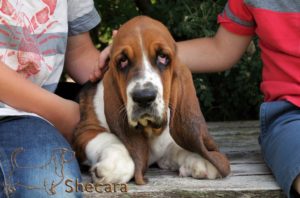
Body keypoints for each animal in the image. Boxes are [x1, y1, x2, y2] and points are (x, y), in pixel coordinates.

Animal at [74, 16, 231, 185]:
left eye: (163, 57)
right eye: (123, 61)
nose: (144, 97)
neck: (149, 130)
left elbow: (177, 147)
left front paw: (202, 159)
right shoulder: (85, 131)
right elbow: (112, 139)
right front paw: (114, 166)